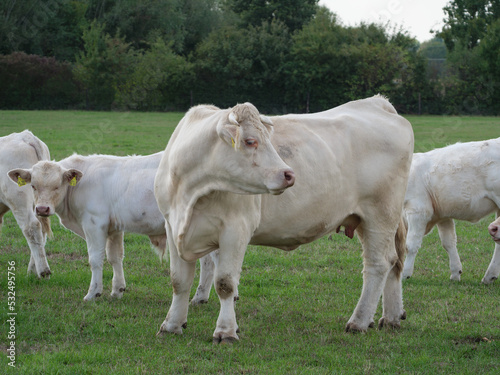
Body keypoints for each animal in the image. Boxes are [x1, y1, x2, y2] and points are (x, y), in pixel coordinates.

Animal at [0, 131, 52, 278]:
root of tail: (25, 136)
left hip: (18, 199)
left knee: (31, 226)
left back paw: (43, 271)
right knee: (41, 230)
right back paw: (32, 271)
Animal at [8, 151, 168, 302]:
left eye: (57, 186)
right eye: (33, 186)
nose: (42, 209)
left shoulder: (94, 224)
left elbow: (95, 259)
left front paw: (93, 293)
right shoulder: (114, 229)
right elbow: (115, 257)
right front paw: (117, 291)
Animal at [156, 97, 414, 344]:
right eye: (250, 141)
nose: (289, 174)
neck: (190, 193)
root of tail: (377, 103)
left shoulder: (235, 229)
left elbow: (225, 284)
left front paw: (226, 331)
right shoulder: (172, 225)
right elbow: (179, 281)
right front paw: (171, 325)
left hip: (380, 214)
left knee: (378, 263)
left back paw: (359, 321)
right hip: (365, 218)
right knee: (394, 260)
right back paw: (391, 317)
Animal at [404, 140, 500, 284]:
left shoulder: (418, 211)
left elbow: (411, 244)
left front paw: (404, 274)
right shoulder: (442, 216)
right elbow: (448, 242)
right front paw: (456, 273)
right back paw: (490, 276)